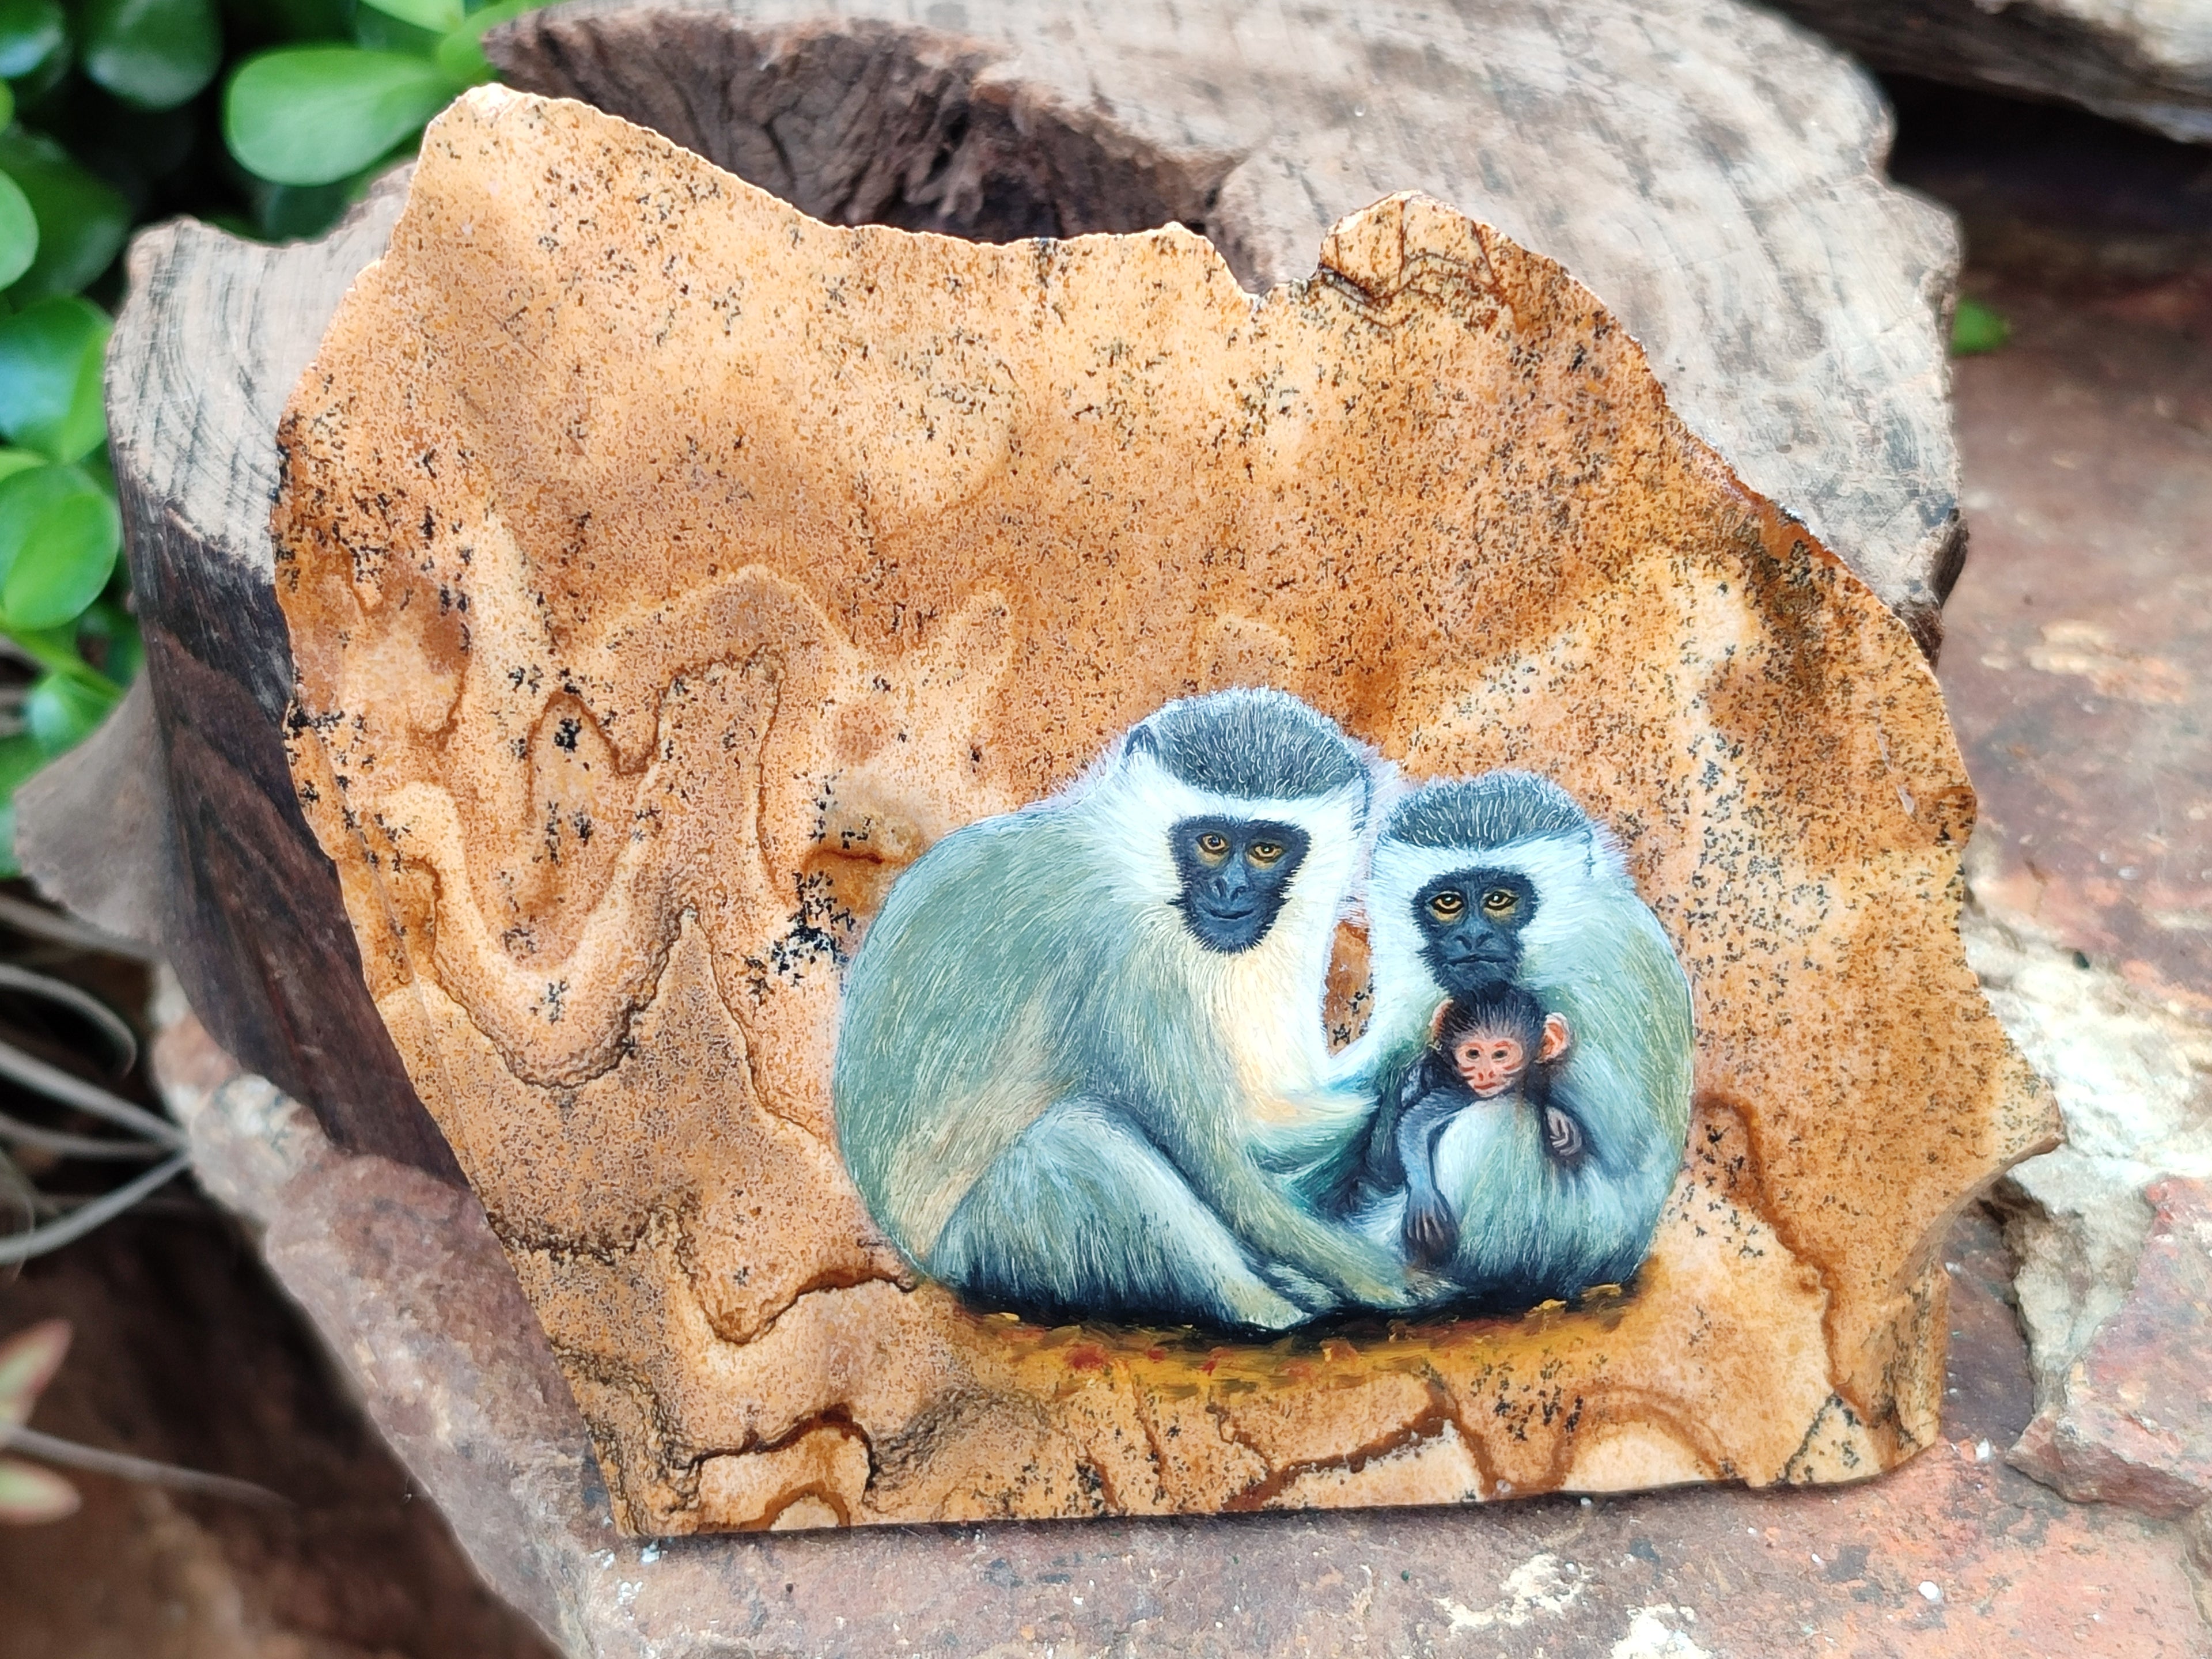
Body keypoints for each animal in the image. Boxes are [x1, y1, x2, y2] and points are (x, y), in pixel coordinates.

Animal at [832, 688, 1416, 1333]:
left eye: (1267, 849)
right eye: (1213, 842)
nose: (1232, 891)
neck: (1139, 871)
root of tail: (927, 1263)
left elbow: (1273, 1118)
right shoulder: (1127, 960)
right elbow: (1225, 1166)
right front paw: (1389, 1280)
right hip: (1002, 1243)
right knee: (1079, 1138)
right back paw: (1264, 1309)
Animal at [1330, 770, 1695, 1311]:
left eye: (1500, 900)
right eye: (1448, 903)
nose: (1473, 940)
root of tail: (1622, 1260)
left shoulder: (1599, 960)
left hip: (1565, 1234)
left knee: (1500, 1117)